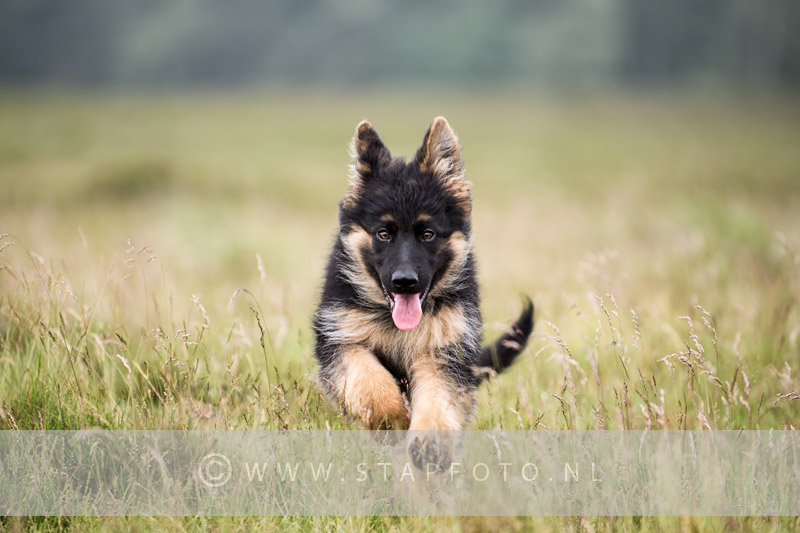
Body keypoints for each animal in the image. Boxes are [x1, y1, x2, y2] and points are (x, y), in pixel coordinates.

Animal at [312, 116, 532, 432]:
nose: (405, 283)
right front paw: (393, 416)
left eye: (428, 234)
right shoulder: (340, 338)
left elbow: (436, 400)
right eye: (383, 233)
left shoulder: (442, 352)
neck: (395, 325)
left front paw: (428, 439)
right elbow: (369, 380)